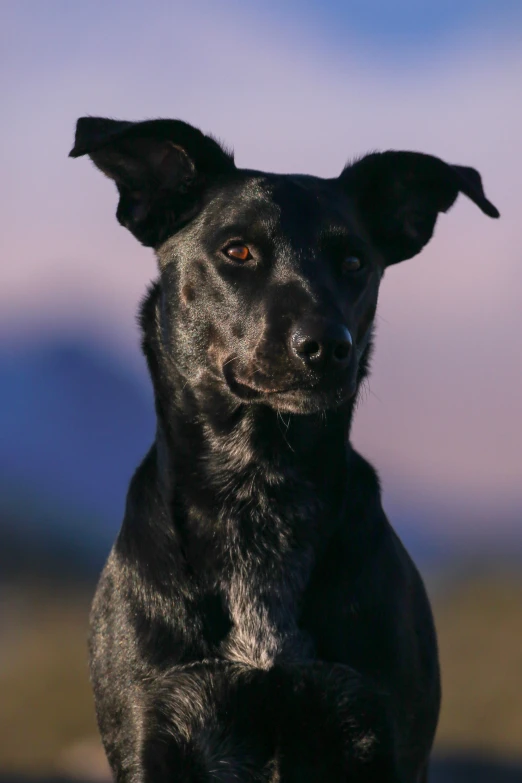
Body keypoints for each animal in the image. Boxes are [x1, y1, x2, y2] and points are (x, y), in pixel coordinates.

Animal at [69, 118, 496, 783]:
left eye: (354, 261)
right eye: (237, 251)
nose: (327, 346)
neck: (260, 486)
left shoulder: (386, 731)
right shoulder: (150, 729)